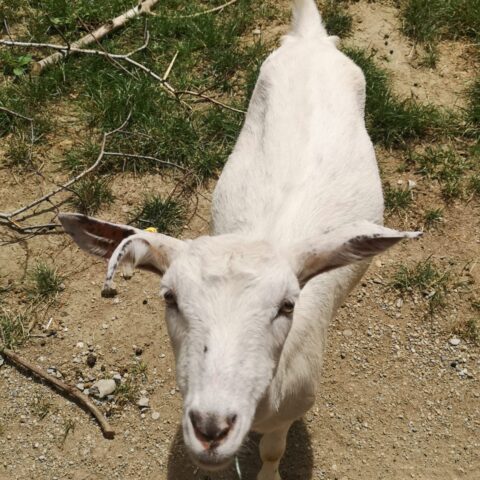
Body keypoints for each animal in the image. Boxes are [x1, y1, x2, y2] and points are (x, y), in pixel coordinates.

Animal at [59, 1, 420, 478]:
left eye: (287, 305)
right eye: (170, 297)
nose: (211, 428)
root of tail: (310, 37)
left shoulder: (290, 411)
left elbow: (272, 451)